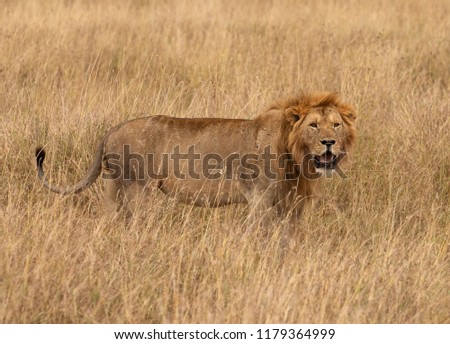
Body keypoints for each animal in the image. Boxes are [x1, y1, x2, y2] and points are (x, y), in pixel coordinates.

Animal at [36, 92, 356, 224]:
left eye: (336, 125)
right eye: (313, 125)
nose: (329, 143)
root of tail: (113, 129)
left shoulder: (285, 202)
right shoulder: (260, 199)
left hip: (114, 187)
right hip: (138, 188)